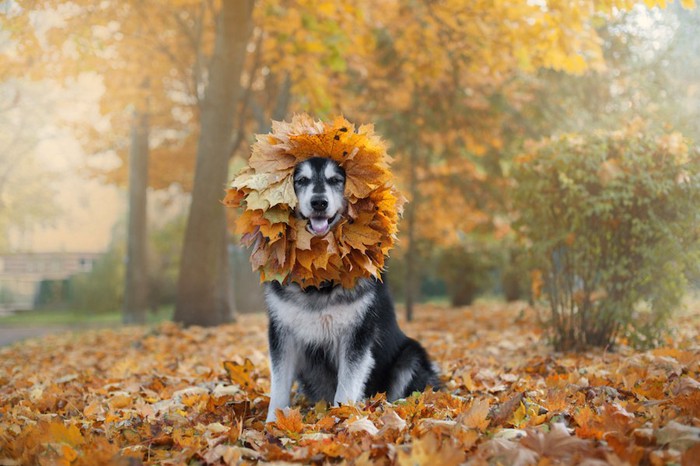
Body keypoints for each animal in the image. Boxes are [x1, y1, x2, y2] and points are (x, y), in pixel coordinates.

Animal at [262, 156, 438, 422]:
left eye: (336, 180)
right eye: (300, 180)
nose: (319, 202)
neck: (321, 272)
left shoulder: (357, 335)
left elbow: (346, 385)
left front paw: (342, 420)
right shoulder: (283, 332)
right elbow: (279, 385)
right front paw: (274, 422)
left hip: (411, 356)